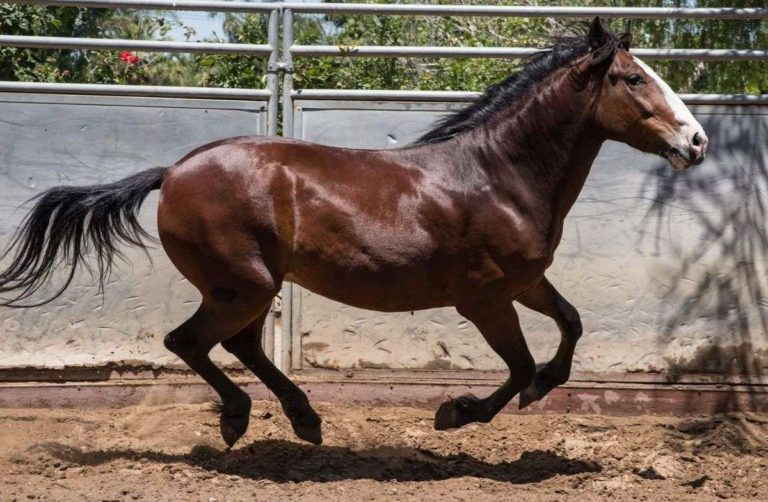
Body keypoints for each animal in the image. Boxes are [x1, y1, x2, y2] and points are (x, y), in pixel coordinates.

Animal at [0, 18, 707, 447]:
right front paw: (457, 413)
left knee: (237, 345)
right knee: (191, 342)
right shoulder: (484, 298)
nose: (696, 141)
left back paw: (303, 420)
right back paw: (244, 419)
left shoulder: (526, 283)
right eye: (634, 78)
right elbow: (521, 363)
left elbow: (571, 327)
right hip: (242, 285)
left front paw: (535, 393)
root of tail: (171, 172)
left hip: (249, 288)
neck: (498, 174)